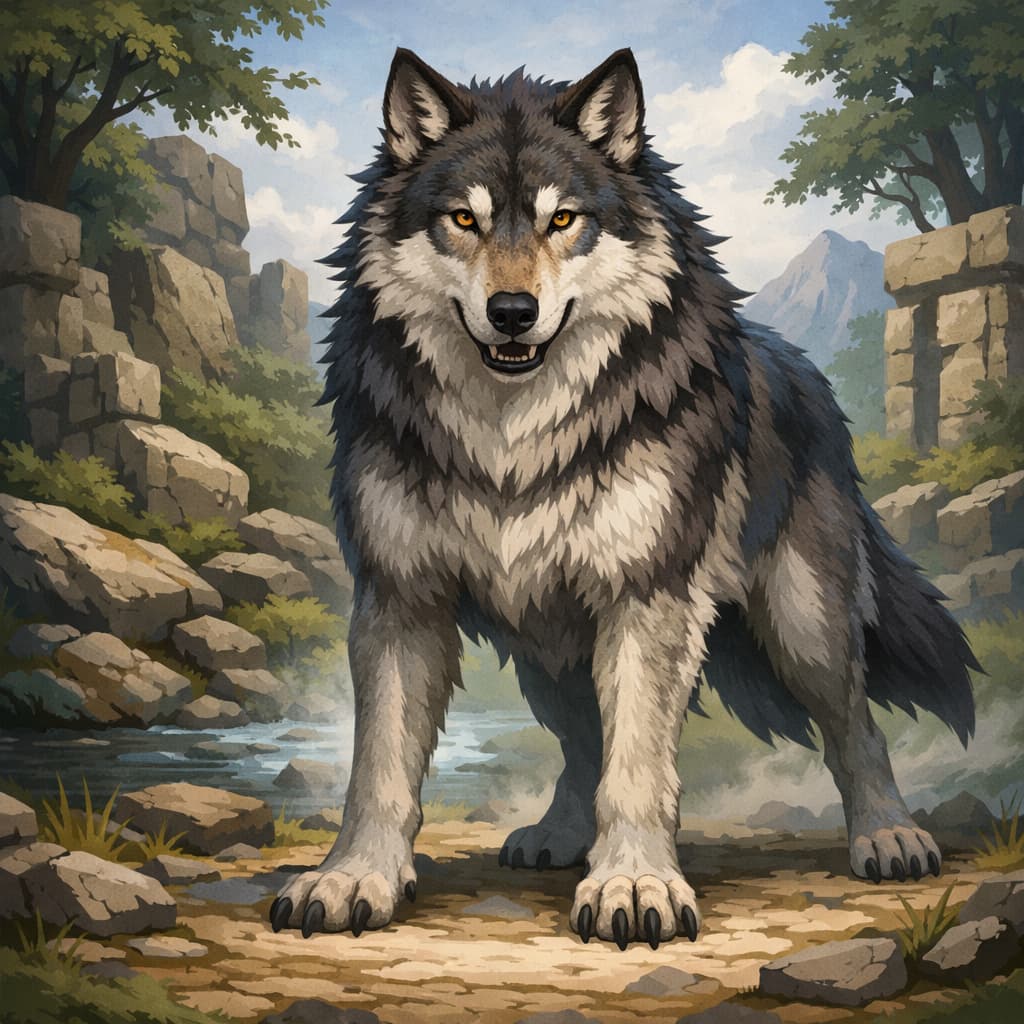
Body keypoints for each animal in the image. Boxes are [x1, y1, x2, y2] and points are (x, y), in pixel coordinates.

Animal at [269, 47, 978, 949]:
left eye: (564, 220)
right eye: (462, 220)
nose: (512, 312)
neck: (512, 437)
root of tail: (801, 367)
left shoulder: (648, 595)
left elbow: (638, 764)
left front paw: (635, 885)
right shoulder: (400, 597)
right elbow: (380, 769)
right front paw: (352, 877)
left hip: (803, 624)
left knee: (856, 724)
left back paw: (889, 835)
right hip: (546, 645)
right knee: (581, 745)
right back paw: (558, 836)